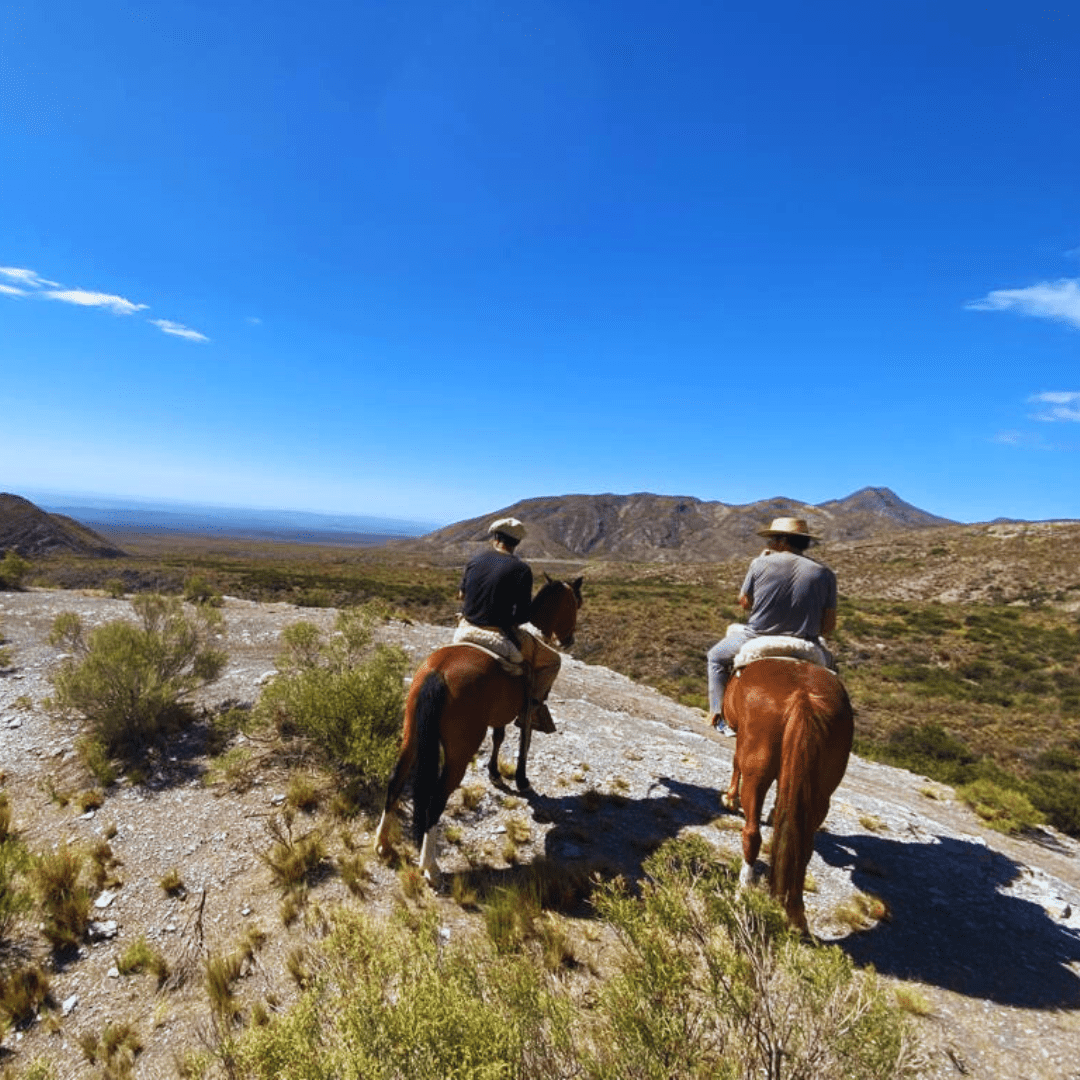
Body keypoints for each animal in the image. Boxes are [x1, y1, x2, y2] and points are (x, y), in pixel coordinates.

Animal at [373, 574, 583, 876]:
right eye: (575, 604)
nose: (568, 640)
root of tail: (438, 672)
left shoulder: (498, 715)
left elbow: (499, 737)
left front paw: (494, 773)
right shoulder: (526, 708)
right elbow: (524, 742)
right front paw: (521, 780)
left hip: (411, 735)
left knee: (395, 780)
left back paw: (382, 844)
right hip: (459, 754)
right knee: (436, 800)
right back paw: (430, 867)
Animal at [717, 652, 851, 933]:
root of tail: (803, 696)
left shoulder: (741, 740)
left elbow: (735, 762)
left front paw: (730, 798)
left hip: (757, 770)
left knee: (752, 835)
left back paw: (742, 892)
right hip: (821, 793)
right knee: (804, 848)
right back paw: (796, 917)